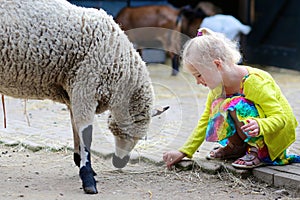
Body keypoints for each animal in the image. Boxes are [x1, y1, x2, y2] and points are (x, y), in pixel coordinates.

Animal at [1, 0, 157, 194]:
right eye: (133, 136)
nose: (120, 162)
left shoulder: (73, 91)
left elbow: (76, 128)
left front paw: (81, 162)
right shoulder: (86, 86)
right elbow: (86, 133)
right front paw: (88, 178)